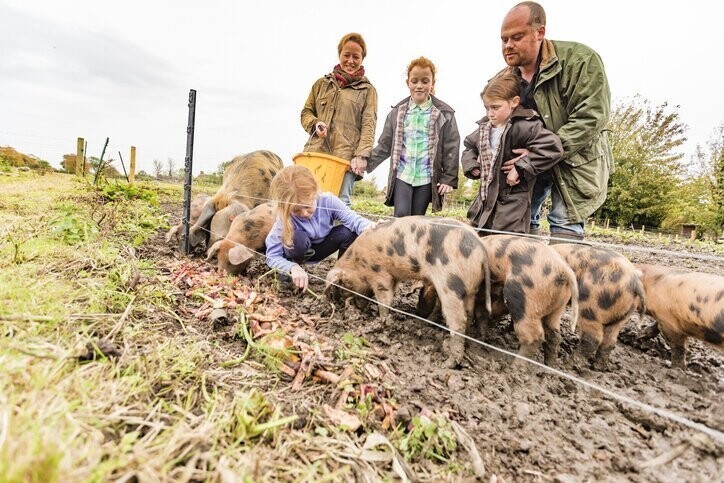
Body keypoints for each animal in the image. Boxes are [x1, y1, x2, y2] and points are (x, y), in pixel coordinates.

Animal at [326, 217, 492, 368]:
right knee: (469, 314)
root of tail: (481, 248)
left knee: (458, 321)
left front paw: (381, 321)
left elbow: (384, 299)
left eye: (343, 284)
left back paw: (447, 364)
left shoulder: (380, 273)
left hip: (451, 284)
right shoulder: (393, 277)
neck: (357, 261)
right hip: (470, 289)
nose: (355, 306)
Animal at [478, 236, 580, 368]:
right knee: (554, 335)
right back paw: (550, 366)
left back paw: (514, 367)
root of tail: (564, 269)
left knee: (534, 337)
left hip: (525, 300)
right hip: (559, 306)